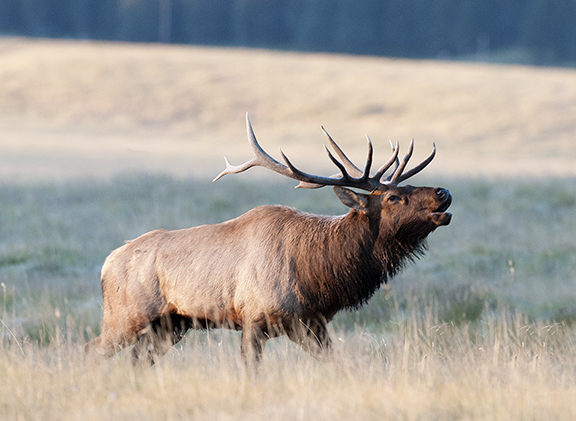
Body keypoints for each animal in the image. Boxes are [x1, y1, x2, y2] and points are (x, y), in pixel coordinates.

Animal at [85, 114, 452, 364]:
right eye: (393, 197)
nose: (443, 192)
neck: (318, 275)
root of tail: (105, 264)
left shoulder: (311, 324)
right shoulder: (253, 318)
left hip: (171, 324)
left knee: (136, 360)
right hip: (126, 316)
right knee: (91, 350)